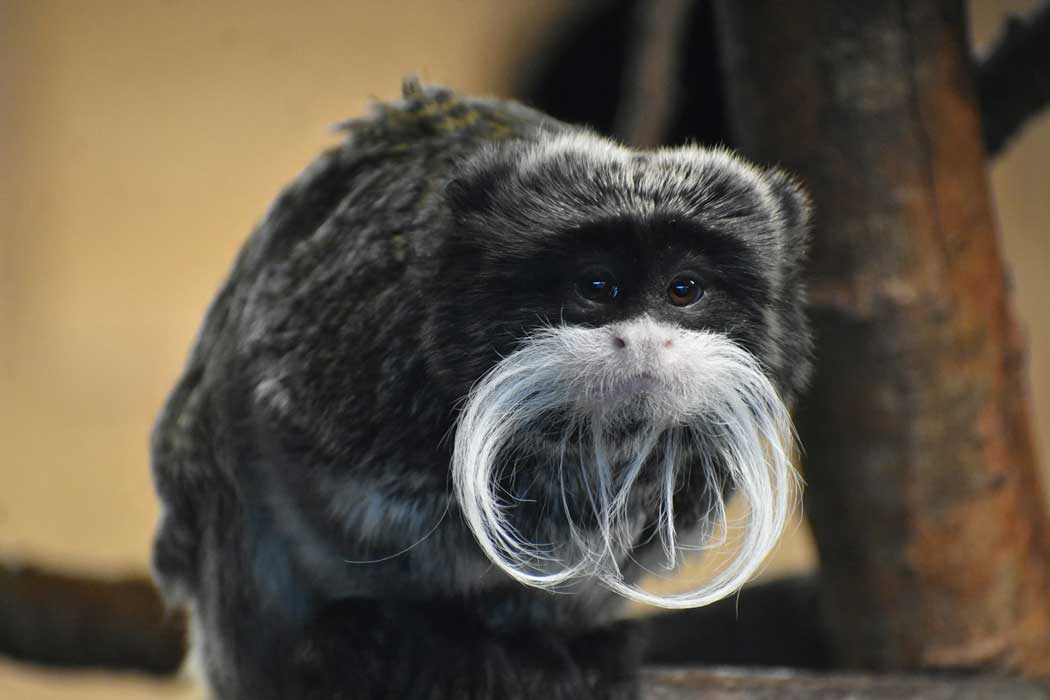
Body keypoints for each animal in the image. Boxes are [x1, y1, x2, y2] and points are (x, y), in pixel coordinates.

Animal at [150, 79, 810, 696]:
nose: (645, 343)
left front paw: (551, 639)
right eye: (597, 286)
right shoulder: (346, 352)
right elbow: (302, 472)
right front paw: (427, 634)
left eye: (683, 290)